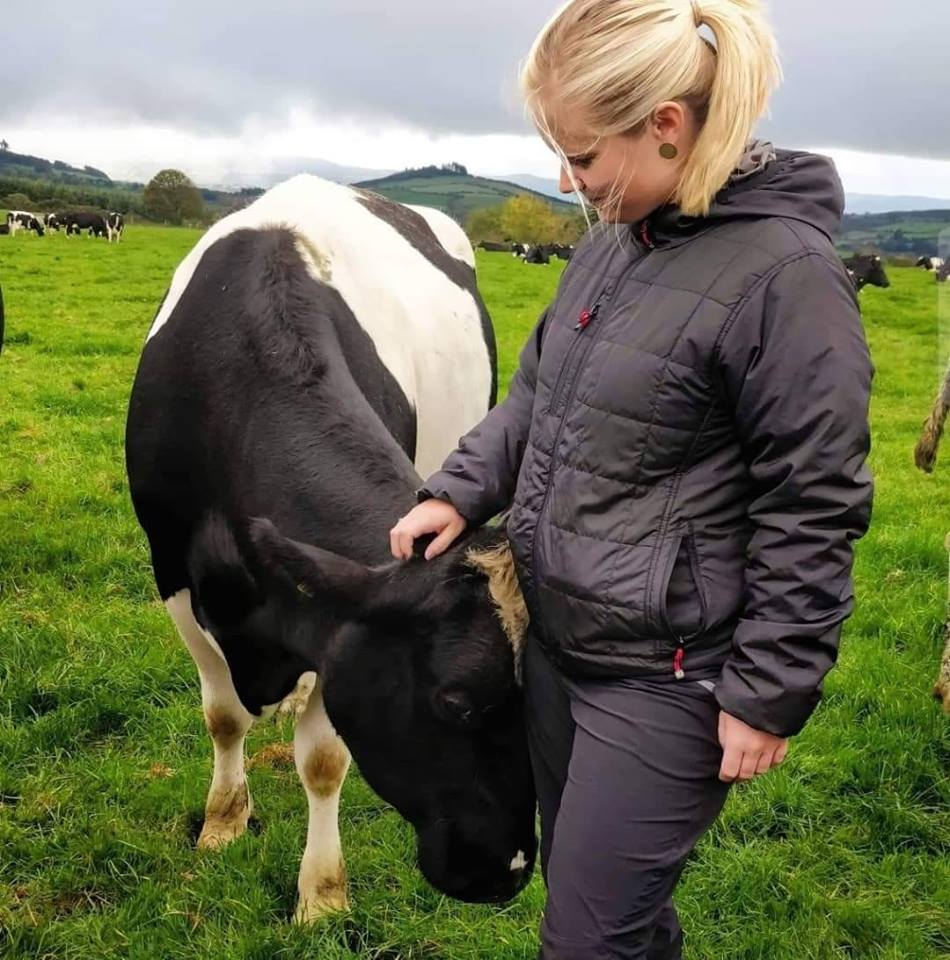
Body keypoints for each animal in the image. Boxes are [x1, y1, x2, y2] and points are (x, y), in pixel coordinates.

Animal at [125, 174, 536, 923]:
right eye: (456, 704)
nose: (510, 873)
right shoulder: (171, 572)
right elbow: (222, 716)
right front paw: (223, 822)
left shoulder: (339, 622)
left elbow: (322, 760)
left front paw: (321, 896)